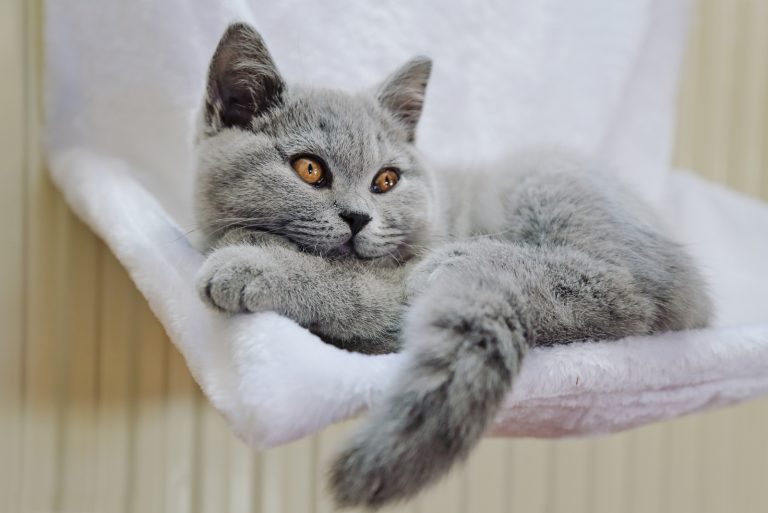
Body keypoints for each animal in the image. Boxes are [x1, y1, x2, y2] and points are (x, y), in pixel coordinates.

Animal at [195, 23, 712, 508]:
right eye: (309, 169)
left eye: (386, 180)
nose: (358, 217)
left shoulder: (393, 292)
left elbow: (346, 284)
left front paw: (251, 264)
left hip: (538, 177)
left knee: (626, 291)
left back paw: (464, 258)